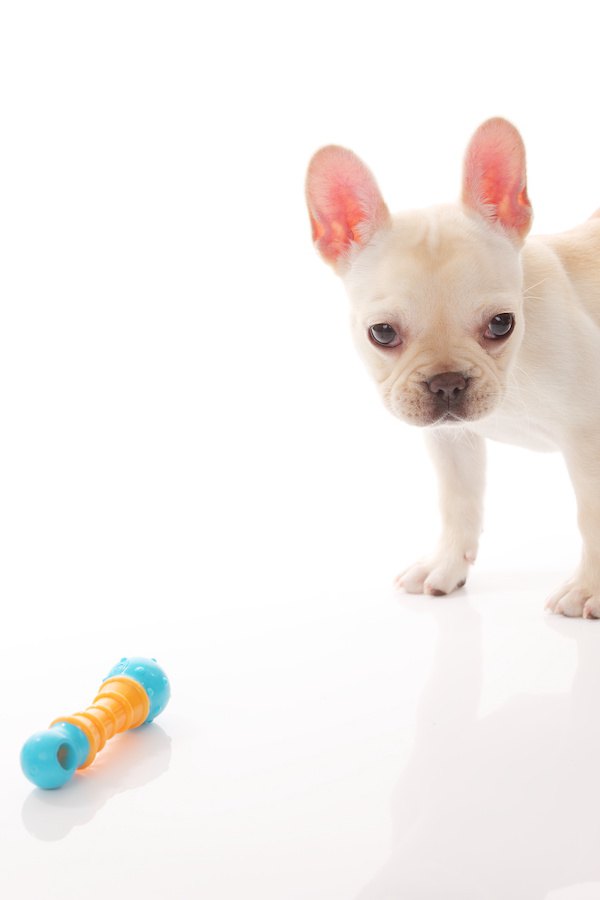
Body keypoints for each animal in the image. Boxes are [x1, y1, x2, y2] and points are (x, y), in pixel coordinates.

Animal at [308, 118, 600, 620]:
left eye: (501, 323)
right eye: (382, 333)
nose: (447, 383)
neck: (515, 372)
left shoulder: (587, 438)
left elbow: (591, 515)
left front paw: (589, 589)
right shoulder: (451, 439)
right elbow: (458, 500)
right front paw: (446, 565)